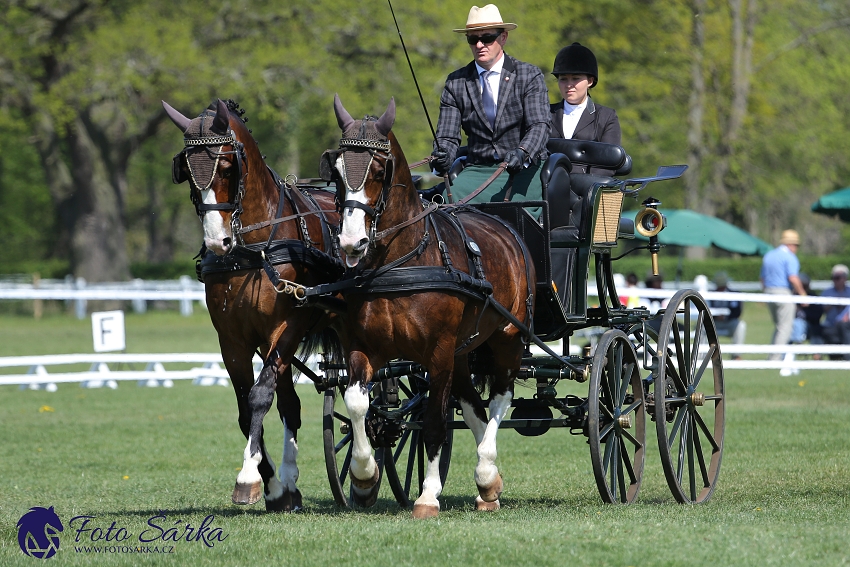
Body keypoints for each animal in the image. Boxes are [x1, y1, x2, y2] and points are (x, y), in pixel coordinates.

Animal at [162, 98, 342, 516]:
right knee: (290, 404)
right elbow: (248, 409)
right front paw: (273, 485)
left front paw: (247, 477)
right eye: (186, 171)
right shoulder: (234, 339)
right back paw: (290, 484)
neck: (256, 248)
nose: (218, 242)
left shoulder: (288, 326)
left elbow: (260, 397)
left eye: (228, 166)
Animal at [322, 96, 532, 520]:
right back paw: (488, 485)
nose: (351, 244)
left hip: (507, 337)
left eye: (379, 170)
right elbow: (357, 404)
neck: (400, 262)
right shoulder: (364, 348)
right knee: (474, 406)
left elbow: (435, 421)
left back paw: (487, 471)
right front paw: (364, 477)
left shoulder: (437, 353)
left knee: (499, 399)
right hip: (464, 350)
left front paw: (427, 495)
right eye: (336, 171)